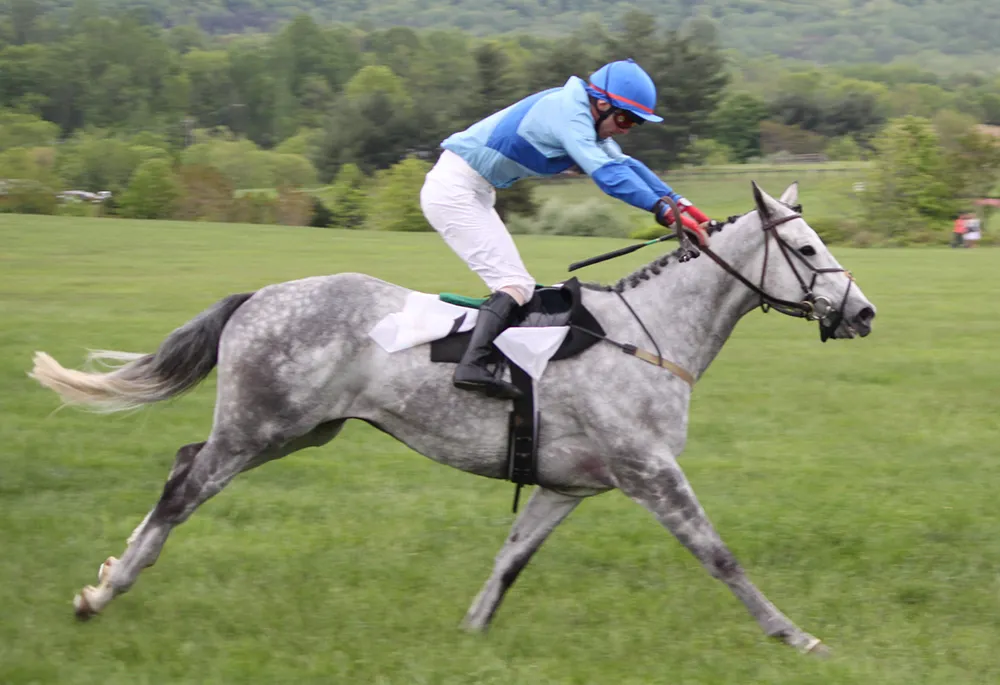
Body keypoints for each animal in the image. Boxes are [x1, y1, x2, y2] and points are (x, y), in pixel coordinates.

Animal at [30, 182, 875, 656]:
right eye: (806, 248)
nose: (864, 311)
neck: (650, 333)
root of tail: (258, 295)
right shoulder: (650, 472)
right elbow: (720, 555)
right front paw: (794, 634)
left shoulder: (568, 485)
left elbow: (511, 558)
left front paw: (469, 635)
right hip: (259, 425)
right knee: (182, 487)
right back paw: (102, 593)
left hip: (294, 429)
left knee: (181, 462)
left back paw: (110, 578)